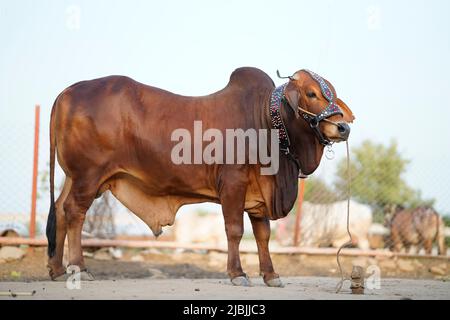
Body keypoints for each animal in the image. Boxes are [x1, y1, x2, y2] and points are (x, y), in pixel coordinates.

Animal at [46, 67, 356, 284]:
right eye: (312, 93)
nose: (343, 128)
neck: (267, 123)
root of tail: (67, 92)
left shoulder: (259, 195)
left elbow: (263, 235)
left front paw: (270, 275)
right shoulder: (233, 184)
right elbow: (234, 230)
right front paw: (237, 274)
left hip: (73, 177)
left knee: (59, 209)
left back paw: (57, 269)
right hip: (88, 176)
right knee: (74, 212)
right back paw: (78, 268)